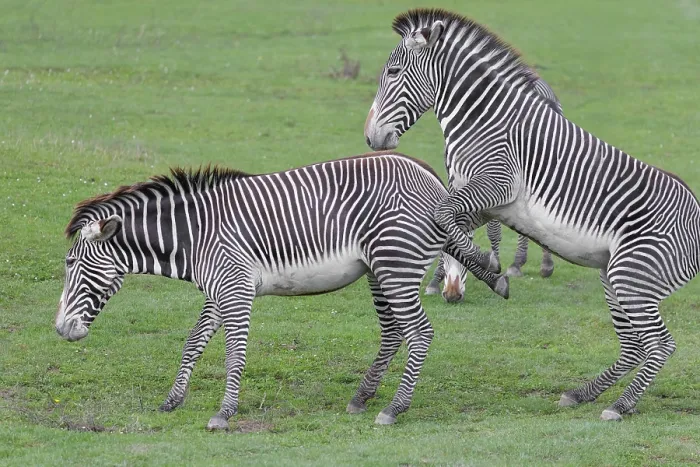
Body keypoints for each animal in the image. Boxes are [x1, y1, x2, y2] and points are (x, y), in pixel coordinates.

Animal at [55, 152, 508, 430]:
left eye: (71, 264)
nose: (60, 331)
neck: (194, 235)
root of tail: (433, 181)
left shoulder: (235, 288)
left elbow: (234, 353)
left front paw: (224, 413)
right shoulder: (218, 289)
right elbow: (194, 342)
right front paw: (172, 400)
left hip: (395, 265)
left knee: (420, 333)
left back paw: (394, 408)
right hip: (380, 270)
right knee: (395, 332)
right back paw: (362, 397)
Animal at [364, 8, 700, 420]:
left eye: (393, 72)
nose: (370, 138)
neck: (483, 119)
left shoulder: (497, 185)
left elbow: (446, 217)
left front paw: (489, 267)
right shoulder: (483, 201)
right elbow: (447, 228)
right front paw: (482, 275)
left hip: (632, 276)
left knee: (660, 344)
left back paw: (620, 405)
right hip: (615, 276)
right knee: (635, 344)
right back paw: (582, 393)